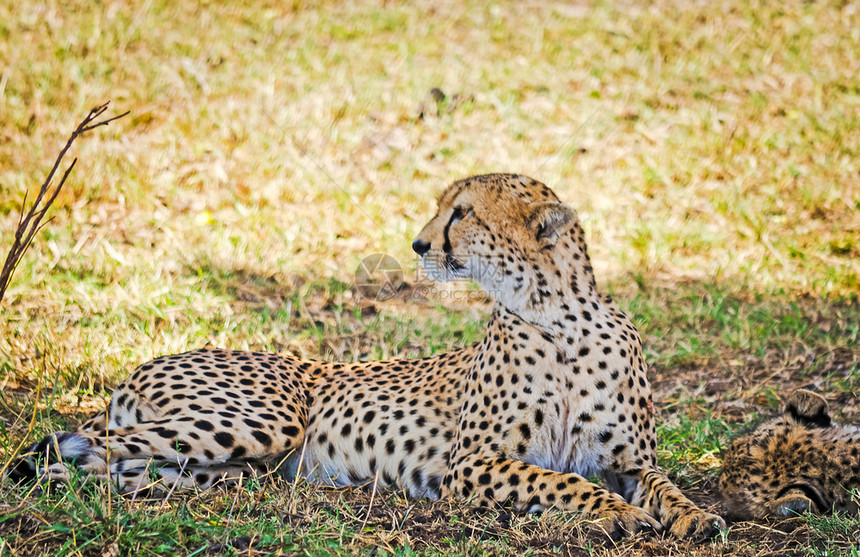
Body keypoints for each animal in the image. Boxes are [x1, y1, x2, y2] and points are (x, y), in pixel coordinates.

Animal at [10, 173, 724, 540]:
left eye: (462, 213)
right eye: (443, 209)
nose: (418, 244)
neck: (560, 317)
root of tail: (142, 365)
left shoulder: (628, 459)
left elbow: (666, 485)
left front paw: (697, 517)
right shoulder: (471, 464)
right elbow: (563, 480)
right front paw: (619, 515)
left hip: (226, 462)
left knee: (121, 463)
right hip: (261, 421)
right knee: (71, 451)